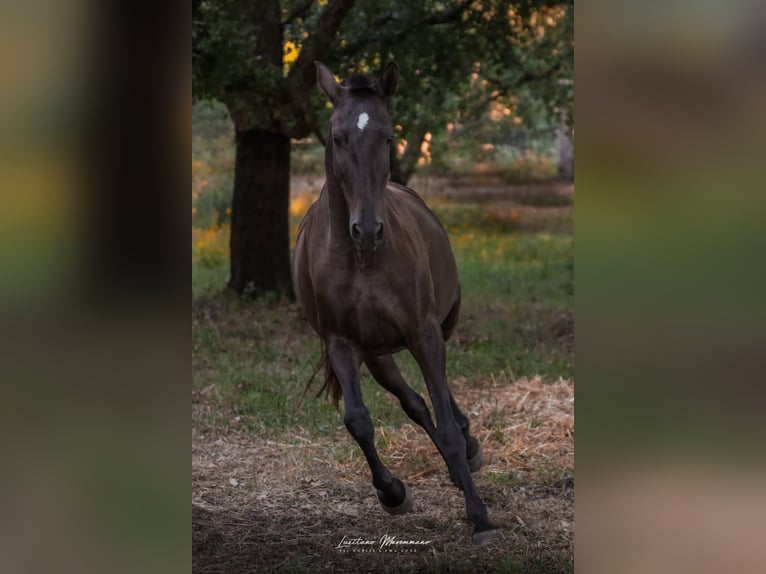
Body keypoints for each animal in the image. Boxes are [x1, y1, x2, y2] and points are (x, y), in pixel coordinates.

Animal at [296, 63, 504, 548]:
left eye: (389, 136)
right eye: (337, 137)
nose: (368, 230)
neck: (362, 260)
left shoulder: (422, 334)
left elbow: (447, 423)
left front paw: (480, 517)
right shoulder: (342, 343)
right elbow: (359, 421)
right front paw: (392, 493)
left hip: (437, 330)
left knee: (442, 401)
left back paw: (469, 453)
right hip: (378, 355)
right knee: (415, 403)